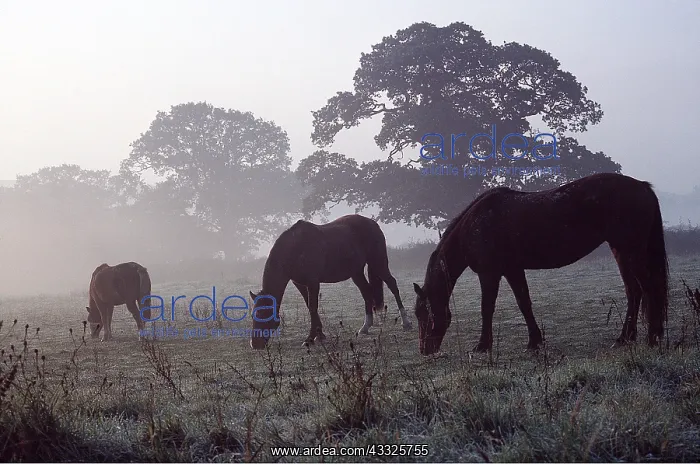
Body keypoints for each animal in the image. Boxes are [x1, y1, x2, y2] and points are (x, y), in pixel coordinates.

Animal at [249, 214, 413, 350]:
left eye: (263, 313)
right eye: (253, 315)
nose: (255, 344)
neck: (295, 248)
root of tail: (373, 223)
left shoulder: (313, 282)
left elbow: (312, 308)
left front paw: (310, 339)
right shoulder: (300, 283)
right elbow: (309, 305)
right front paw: (319, 335)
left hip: (378, 263)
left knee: (392, 285)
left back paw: (406, 322)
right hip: (356, 272)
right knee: (366, 292)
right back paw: (365, 327)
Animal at [412, 172, 669, 356]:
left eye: (423, 313)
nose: (425, 350)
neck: (475, 226)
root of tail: (642, 186)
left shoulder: (489, 273)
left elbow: (487, 308)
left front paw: (483, 346)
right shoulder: (512, 270)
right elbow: (524, 303)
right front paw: (534, 342)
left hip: (631, 252)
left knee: (648, 289)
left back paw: (653, 337)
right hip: (621, 252)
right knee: (633, 292)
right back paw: (625, 338)